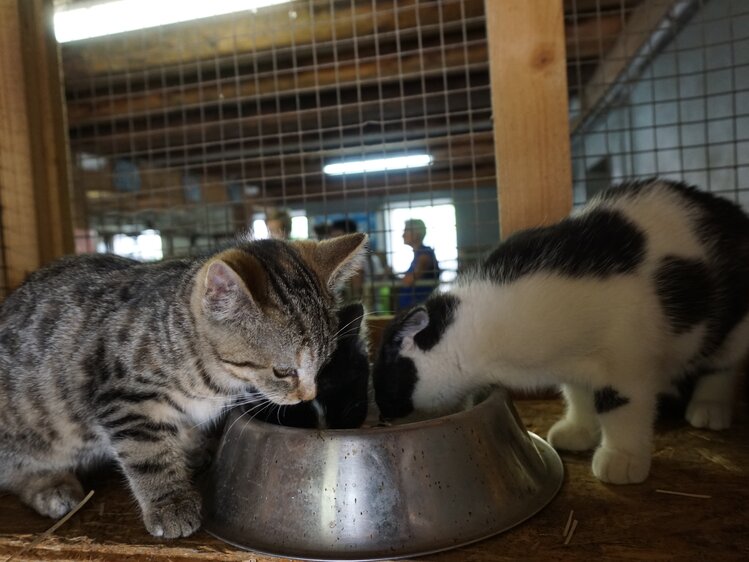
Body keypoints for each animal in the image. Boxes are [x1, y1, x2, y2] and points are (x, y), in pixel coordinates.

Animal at [0, 231, 366, 532]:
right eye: (283, 371)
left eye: (324, 363)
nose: (307, 395)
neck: (210, 377)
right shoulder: (124, 397)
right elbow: (148, 452)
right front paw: (170, 503)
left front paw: (192, 448)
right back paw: (51, 487)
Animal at [372, 178, 748, 482]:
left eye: (383, 380)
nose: (382, 413)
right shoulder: (573, 361)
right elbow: (579, 394)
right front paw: (580, 429)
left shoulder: (627, 355)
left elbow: (621, 405)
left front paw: (622, 456)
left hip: (732, 325)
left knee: (723, 364)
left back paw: (709, 406)